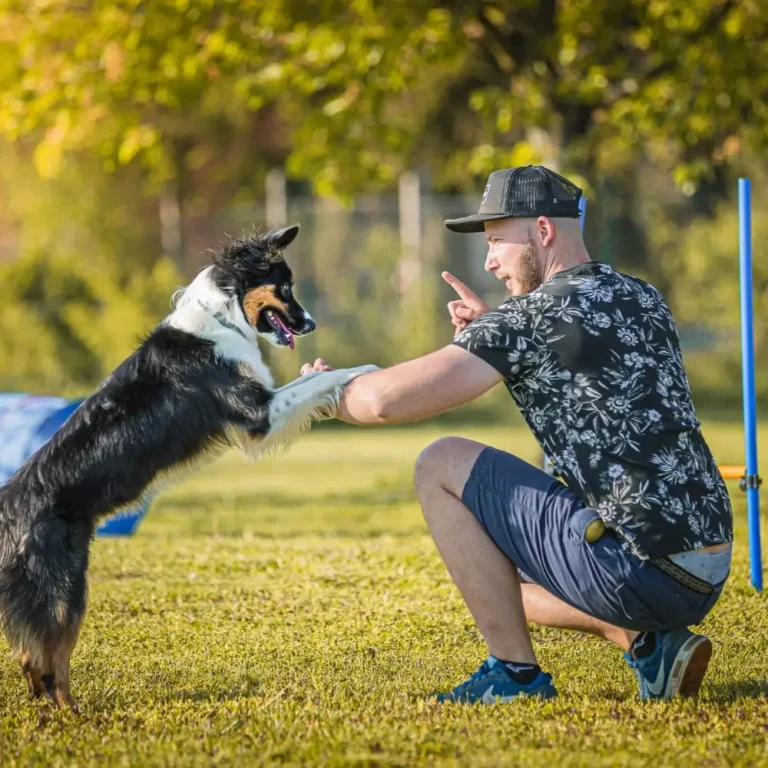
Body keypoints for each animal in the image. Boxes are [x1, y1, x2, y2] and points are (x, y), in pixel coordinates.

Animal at [0, 224, 376, 712]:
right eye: (286, 287)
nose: (310, 324)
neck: (224, 316)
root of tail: (9, 506)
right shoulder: (258, 412)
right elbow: (318, 379)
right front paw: (364, 369)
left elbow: (311, 380)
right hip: (65, 587)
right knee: (48, 660)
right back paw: (73, 713)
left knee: (32, 657)